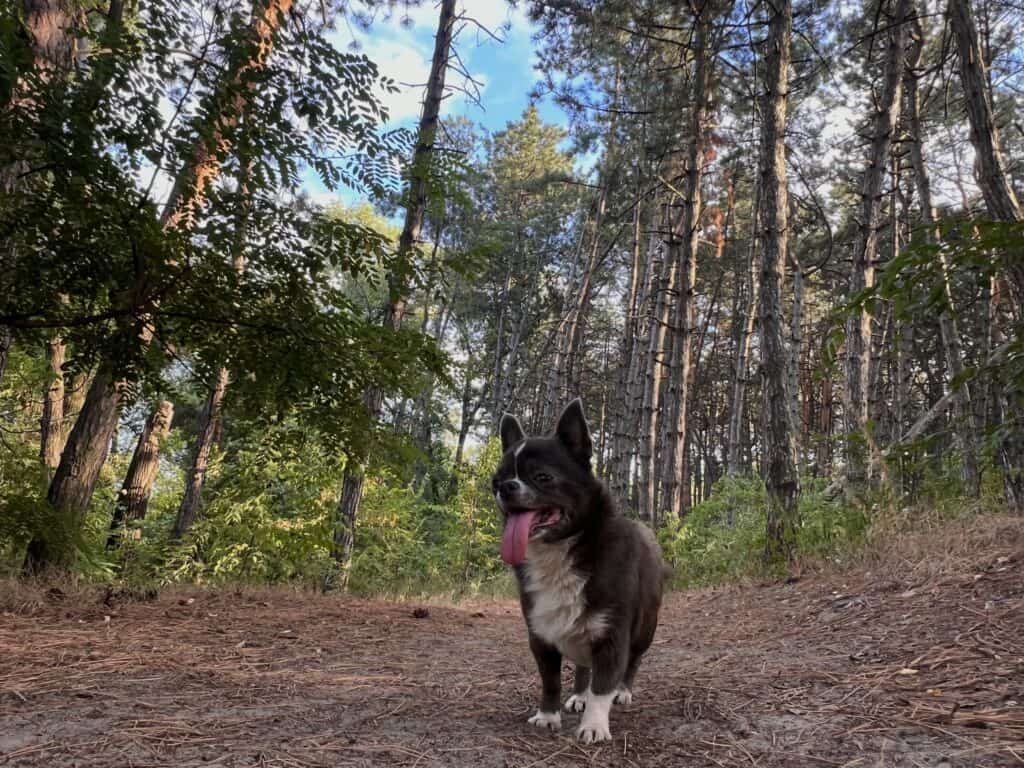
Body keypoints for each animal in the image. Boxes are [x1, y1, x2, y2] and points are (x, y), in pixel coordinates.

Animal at [492, 399, 665, 744]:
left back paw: (623, 691)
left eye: (543, 477)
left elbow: (603, 686)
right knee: (585, 667)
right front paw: (548, 716)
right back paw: (579, 695)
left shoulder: (612, 637)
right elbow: (551, 681)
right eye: (495, 479)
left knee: (632, 662)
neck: (560, 551)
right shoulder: (541, 637)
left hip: (644, 630)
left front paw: (594, 725)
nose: (504, 487)